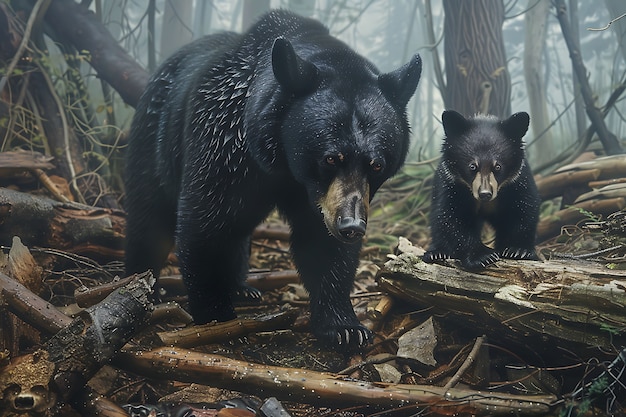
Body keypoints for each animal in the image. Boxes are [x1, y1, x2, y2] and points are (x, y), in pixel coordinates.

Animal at [124, 9, 422, 348]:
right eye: (331, 158)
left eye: (376, 165)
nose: (352, 226)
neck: (283, 164)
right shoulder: (222, 142)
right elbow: (205, 223)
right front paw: (216, 316)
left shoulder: (319, 196)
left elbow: (322, 244)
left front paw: (345, 327)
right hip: (153, 138)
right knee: (149, 214)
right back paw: (143, 283)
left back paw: (242, 287)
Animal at [422, 109, 540, 268]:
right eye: (472, 166)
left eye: (497, 167)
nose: (485, 194)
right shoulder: (452, 185)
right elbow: (452, 217)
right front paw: (484, 256)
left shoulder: (518, 182)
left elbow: (523, 210)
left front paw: (517, 251)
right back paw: (437, 253)